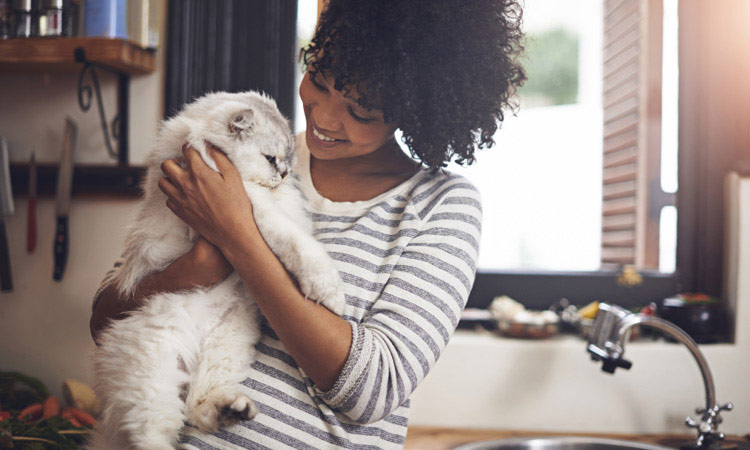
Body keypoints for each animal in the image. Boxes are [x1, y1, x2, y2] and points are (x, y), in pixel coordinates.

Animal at [86, 91, 346, 450]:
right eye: (271, 159)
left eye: (287, 162)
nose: (282, 175)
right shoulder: (250, 207)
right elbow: (298, 245)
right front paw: (329, 291)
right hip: (153, 371)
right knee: (152, 431)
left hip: (227, 344)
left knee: (198, 404)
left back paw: (233, 409)